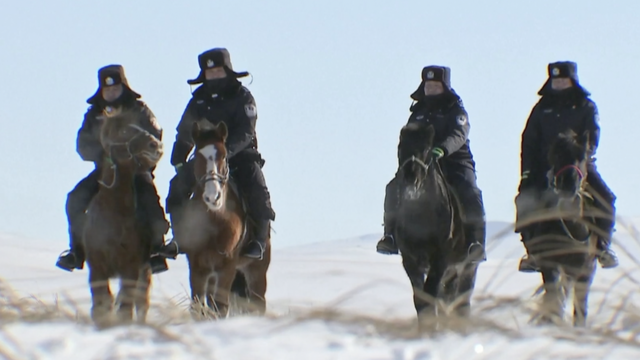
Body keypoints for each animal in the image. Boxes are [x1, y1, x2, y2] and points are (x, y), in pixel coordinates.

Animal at [81, 107, 165, 326]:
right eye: (124, 131)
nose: (156, 145)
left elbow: (126, 307)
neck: (115, 213)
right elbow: (101, 304)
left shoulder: (131, 268)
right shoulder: (97, 269)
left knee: (141, 303)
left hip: (145, 270)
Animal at [172, 120, 270, 318]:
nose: (213, 197)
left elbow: (221, 307)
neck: (215, 221)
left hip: (256, 270)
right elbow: (198, 307)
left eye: (224, 156)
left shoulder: (227, 266)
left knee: (258, 303)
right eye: (197, 156)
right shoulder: (197, 266)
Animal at [396, 122, 480, 322]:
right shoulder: (410, 260)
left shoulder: (440, 260)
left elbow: (430, 295)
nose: (411, 177)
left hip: (466, 267)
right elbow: (420, 299)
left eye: (427, 148)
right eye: (400, 146)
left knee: (461, 301)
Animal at [524, 129, 596, 326]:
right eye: (557, 155)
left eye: (582, 156)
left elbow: (580, 308)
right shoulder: (550, 265)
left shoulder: (584, 270)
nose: (567, 185)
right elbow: (555, 296)